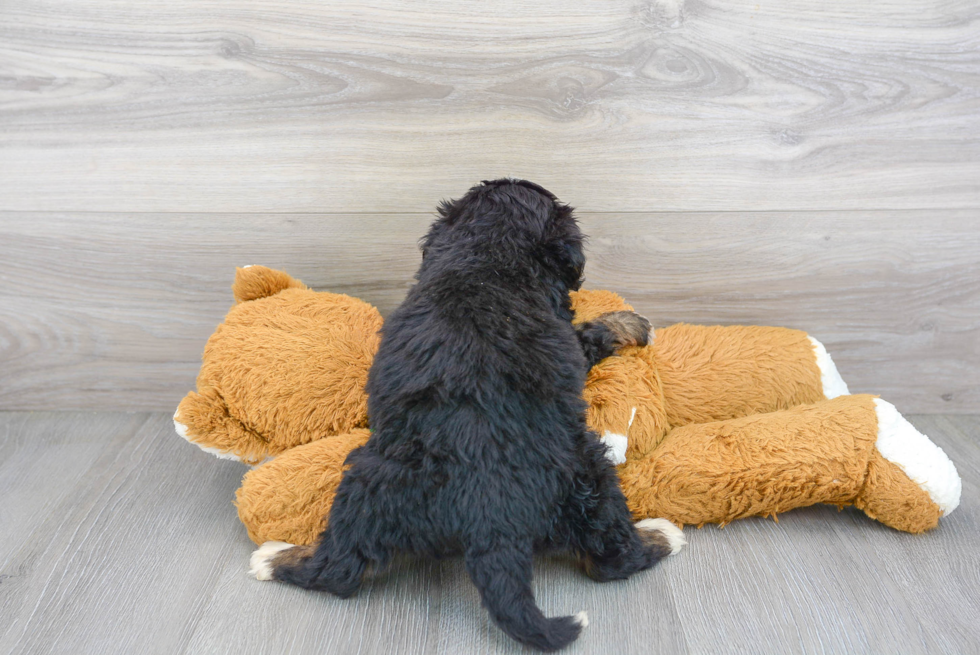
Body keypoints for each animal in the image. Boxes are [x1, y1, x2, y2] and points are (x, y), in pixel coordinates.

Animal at [249, 178, 684, 652]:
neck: (488, 255)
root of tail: (489, 511)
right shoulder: (570, 338)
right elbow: (593, 331)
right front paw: (637, 323)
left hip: (367, 484)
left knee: (339, 570)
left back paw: (274, 557)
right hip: (590, 469)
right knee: (613, 559)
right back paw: (662, 535)